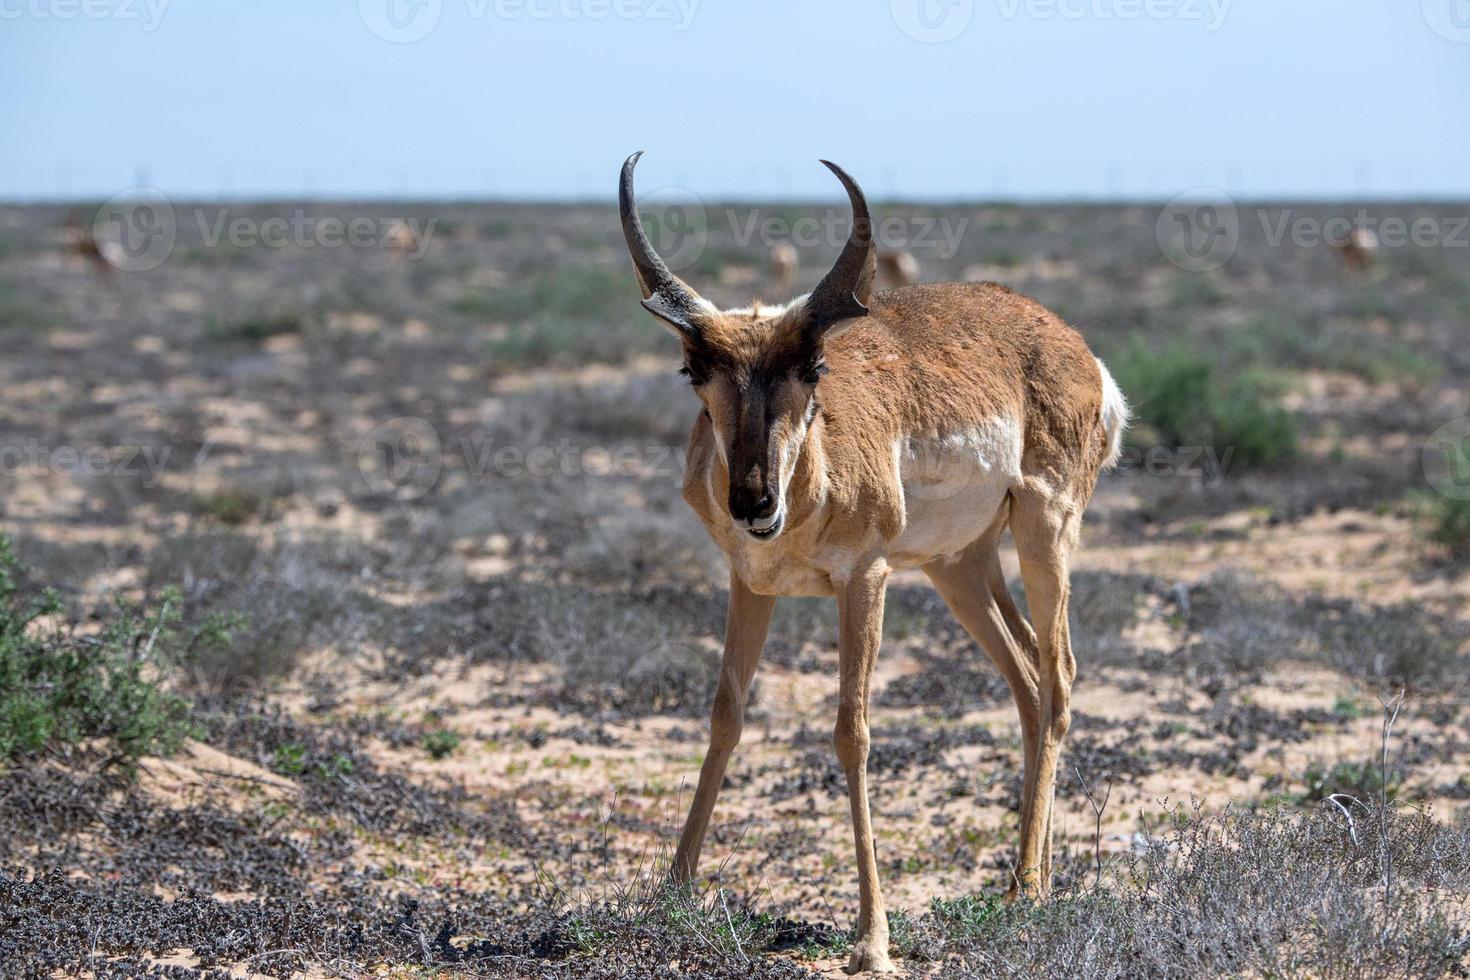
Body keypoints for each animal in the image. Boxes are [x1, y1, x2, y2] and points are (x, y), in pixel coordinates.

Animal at [617, 151, 1123, 975]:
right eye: (694, 368)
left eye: (814, 366)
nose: (753, 503)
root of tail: (1075, 348)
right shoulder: (749, 585)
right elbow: (725, 715)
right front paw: (671, 891)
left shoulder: (865, 582)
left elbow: (851, 731)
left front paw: (871, 938)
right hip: (961, 567)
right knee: (1027, 678)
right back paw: (1029, 881)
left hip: (1045, 533)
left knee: (1060, 672)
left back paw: (1029, 889)